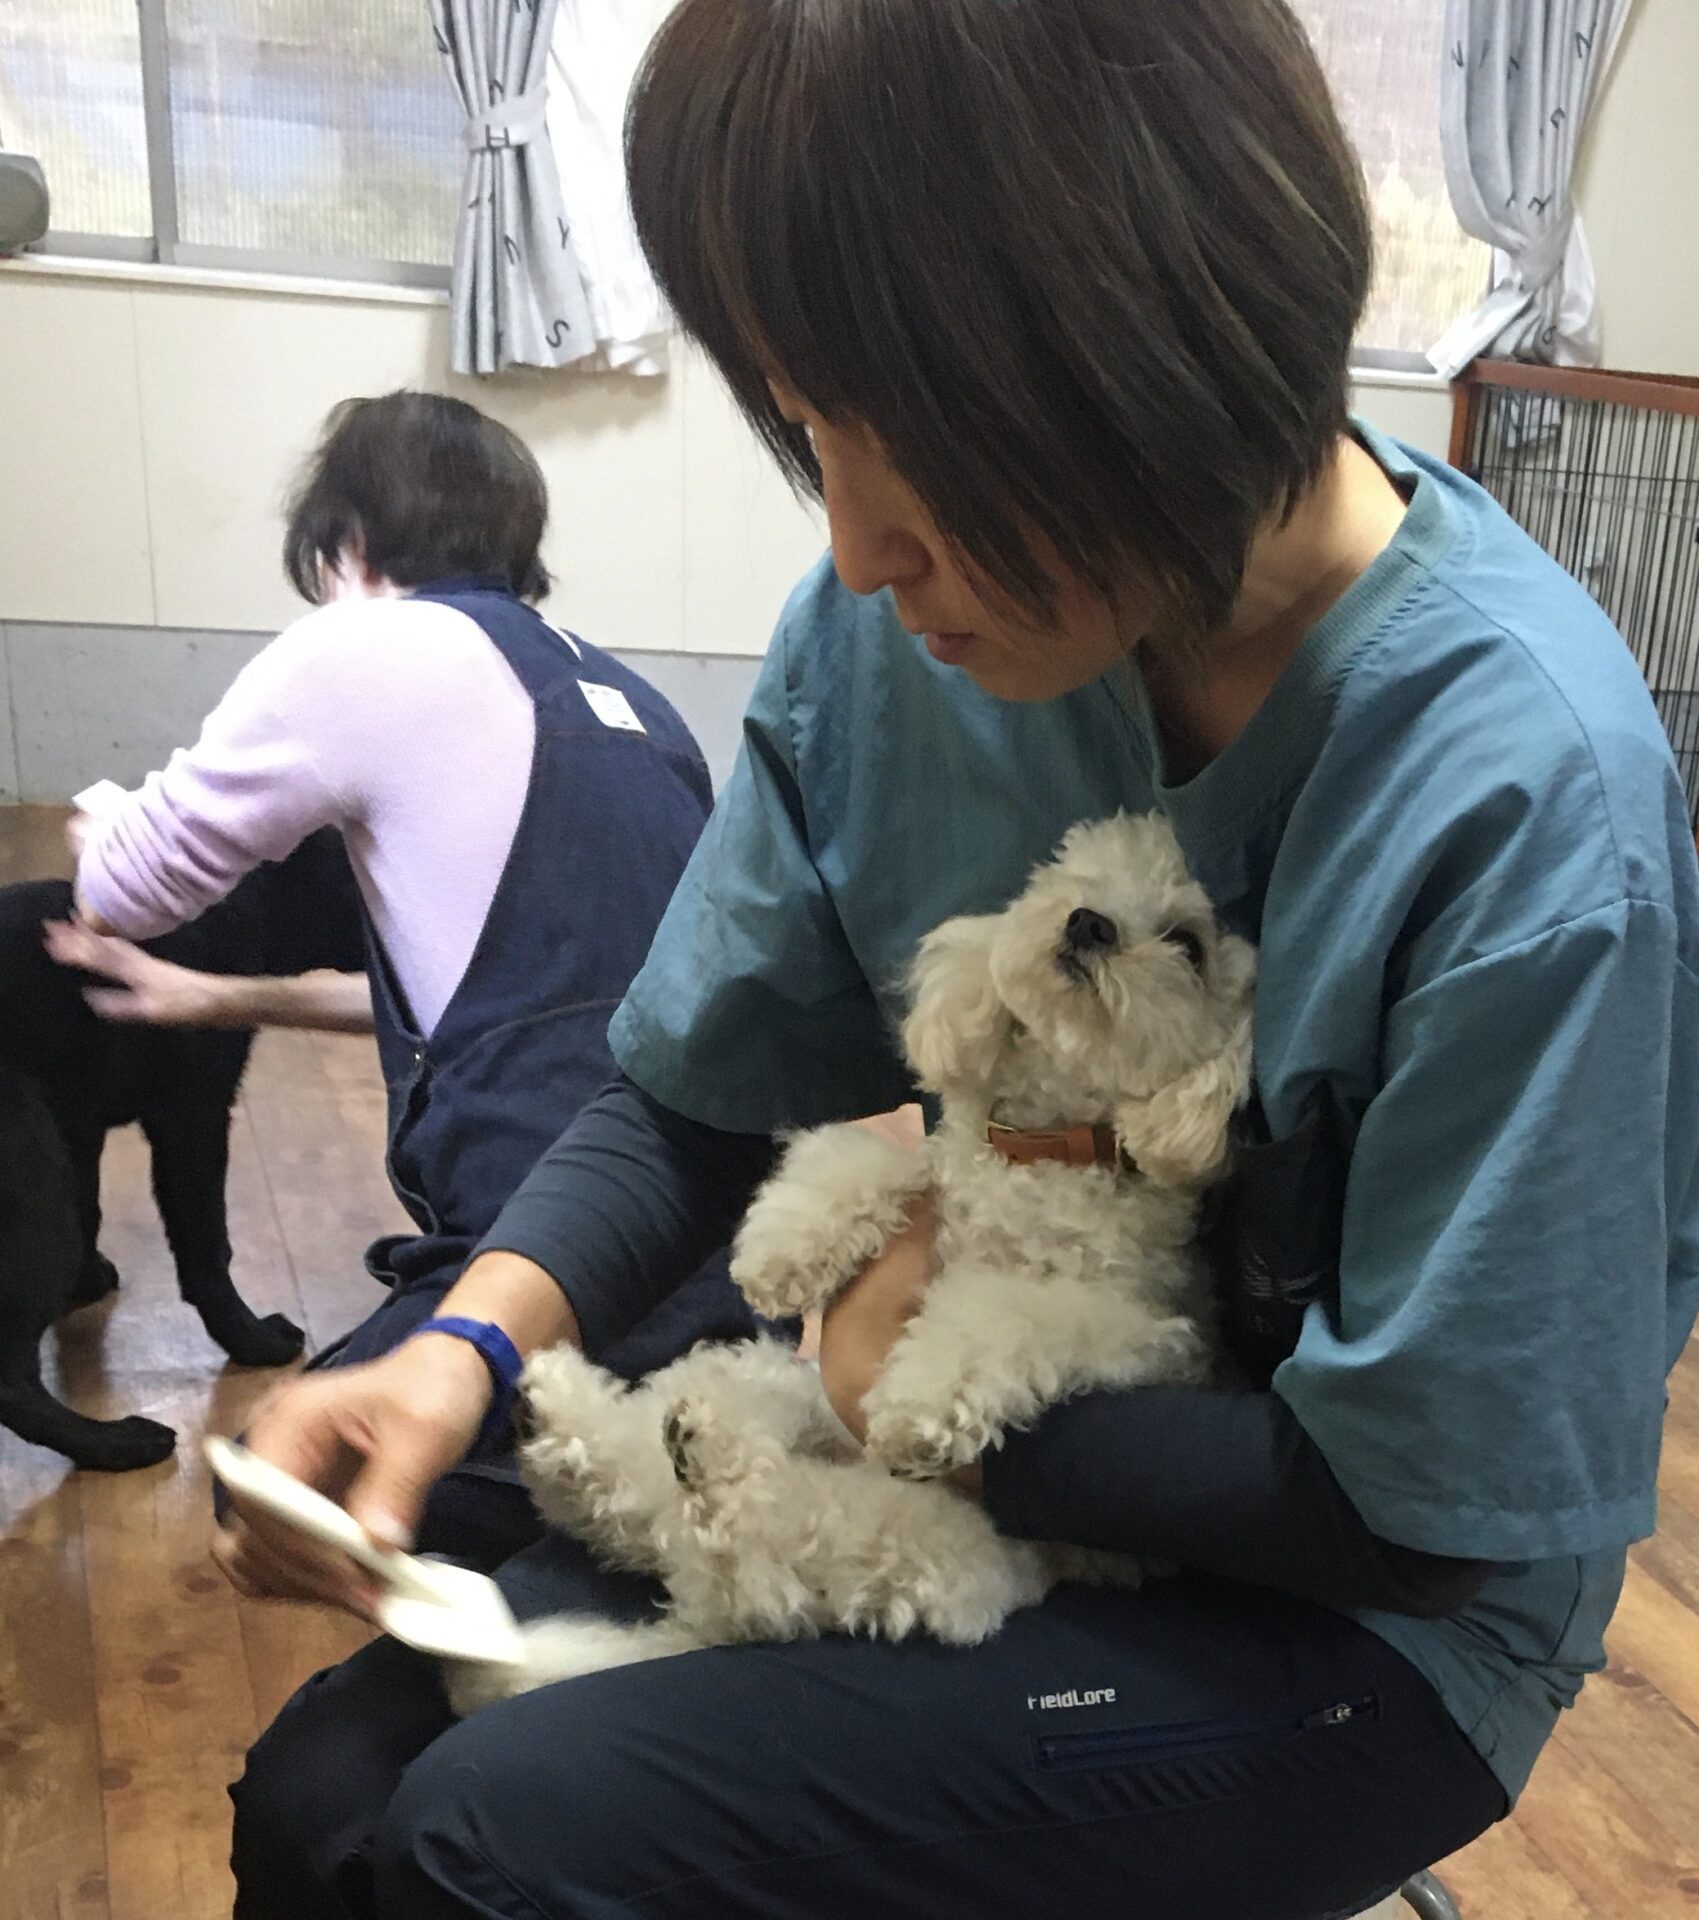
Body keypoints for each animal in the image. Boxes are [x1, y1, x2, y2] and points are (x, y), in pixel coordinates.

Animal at [0, 829, 364, 1470]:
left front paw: (86, 1280)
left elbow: (91, 1205)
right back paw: (115, 1443)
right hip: (30, 1176)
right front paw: (251, 1340)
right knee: (9, 1380)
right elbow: (206, 1248)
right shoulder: (191, 1119)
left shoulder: (79, 1121)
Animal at [449, 812, 1255, 1712]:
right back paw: (563, 1415)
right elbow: (864, 1159)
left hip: (919, 1540)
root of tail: (693, 1617)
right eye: (1067, 880)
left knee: (756, 1556)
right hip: (773, 1381)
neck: (1040, 1150)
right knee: (643, 1492)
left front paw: (917, 1405)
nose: (1089, 924)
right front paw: (780, 1251)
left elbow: (997, 1316)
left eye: (1187, 945)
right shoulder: (939, 1172)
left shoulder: (1136, 1324)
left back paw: (714, 1469)